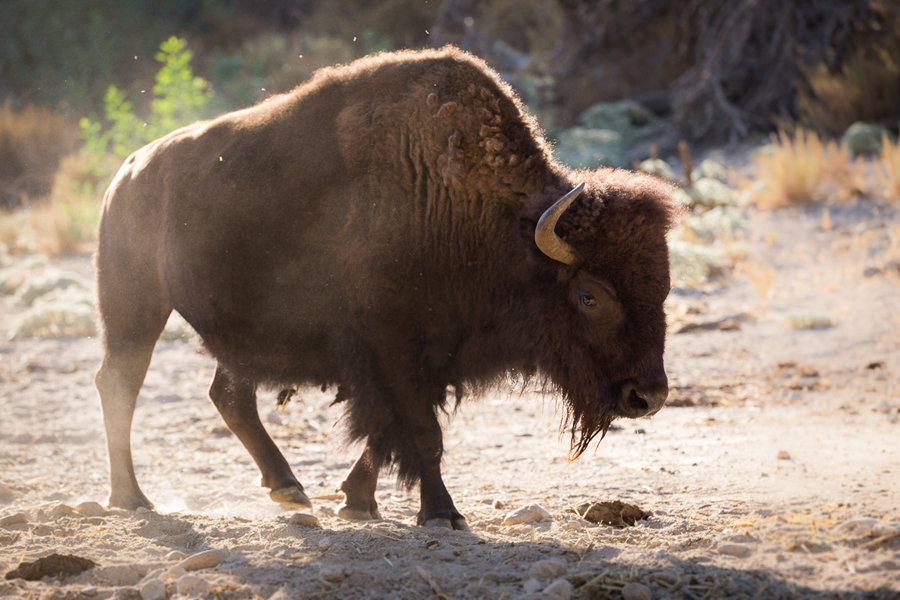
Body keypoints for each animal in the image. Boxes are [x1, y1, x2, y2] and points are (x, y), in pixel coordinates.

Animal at [94, 47, 679, 529]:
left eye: (663, 288)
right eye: (590, 295)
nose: (647, 396)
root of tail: (126, 173)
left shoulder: (426, 357)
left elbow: (387, 433)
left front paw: (358, 501)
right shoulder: (392, 348)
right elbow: (420, 434)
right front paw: (442, 514)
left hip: (235, 334)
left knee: (230, 395)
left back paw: (288, 488)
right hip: (135, 310)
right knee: (119, 384)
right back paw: (132, 499)